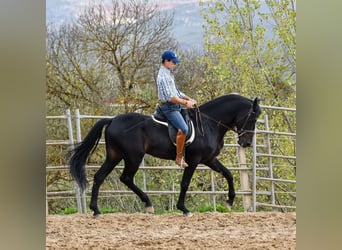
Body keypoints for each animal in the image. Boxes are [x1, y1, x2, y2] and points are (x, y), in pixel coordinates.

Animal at [69, 94, 262, 216]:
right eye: (252, 118)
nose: (246, 143)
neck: (209, 124)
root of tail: (112, 120)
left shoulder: (209, 159)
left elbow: (228, 174)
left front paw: (229, 202)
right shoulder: (194, 160)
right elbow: (185, 183)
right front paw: (183, 209)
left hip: (114, 156)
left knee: (100, 176)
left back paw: (96, 210)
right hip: (133, 157)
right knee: (126, 178)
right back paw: (148, 205)